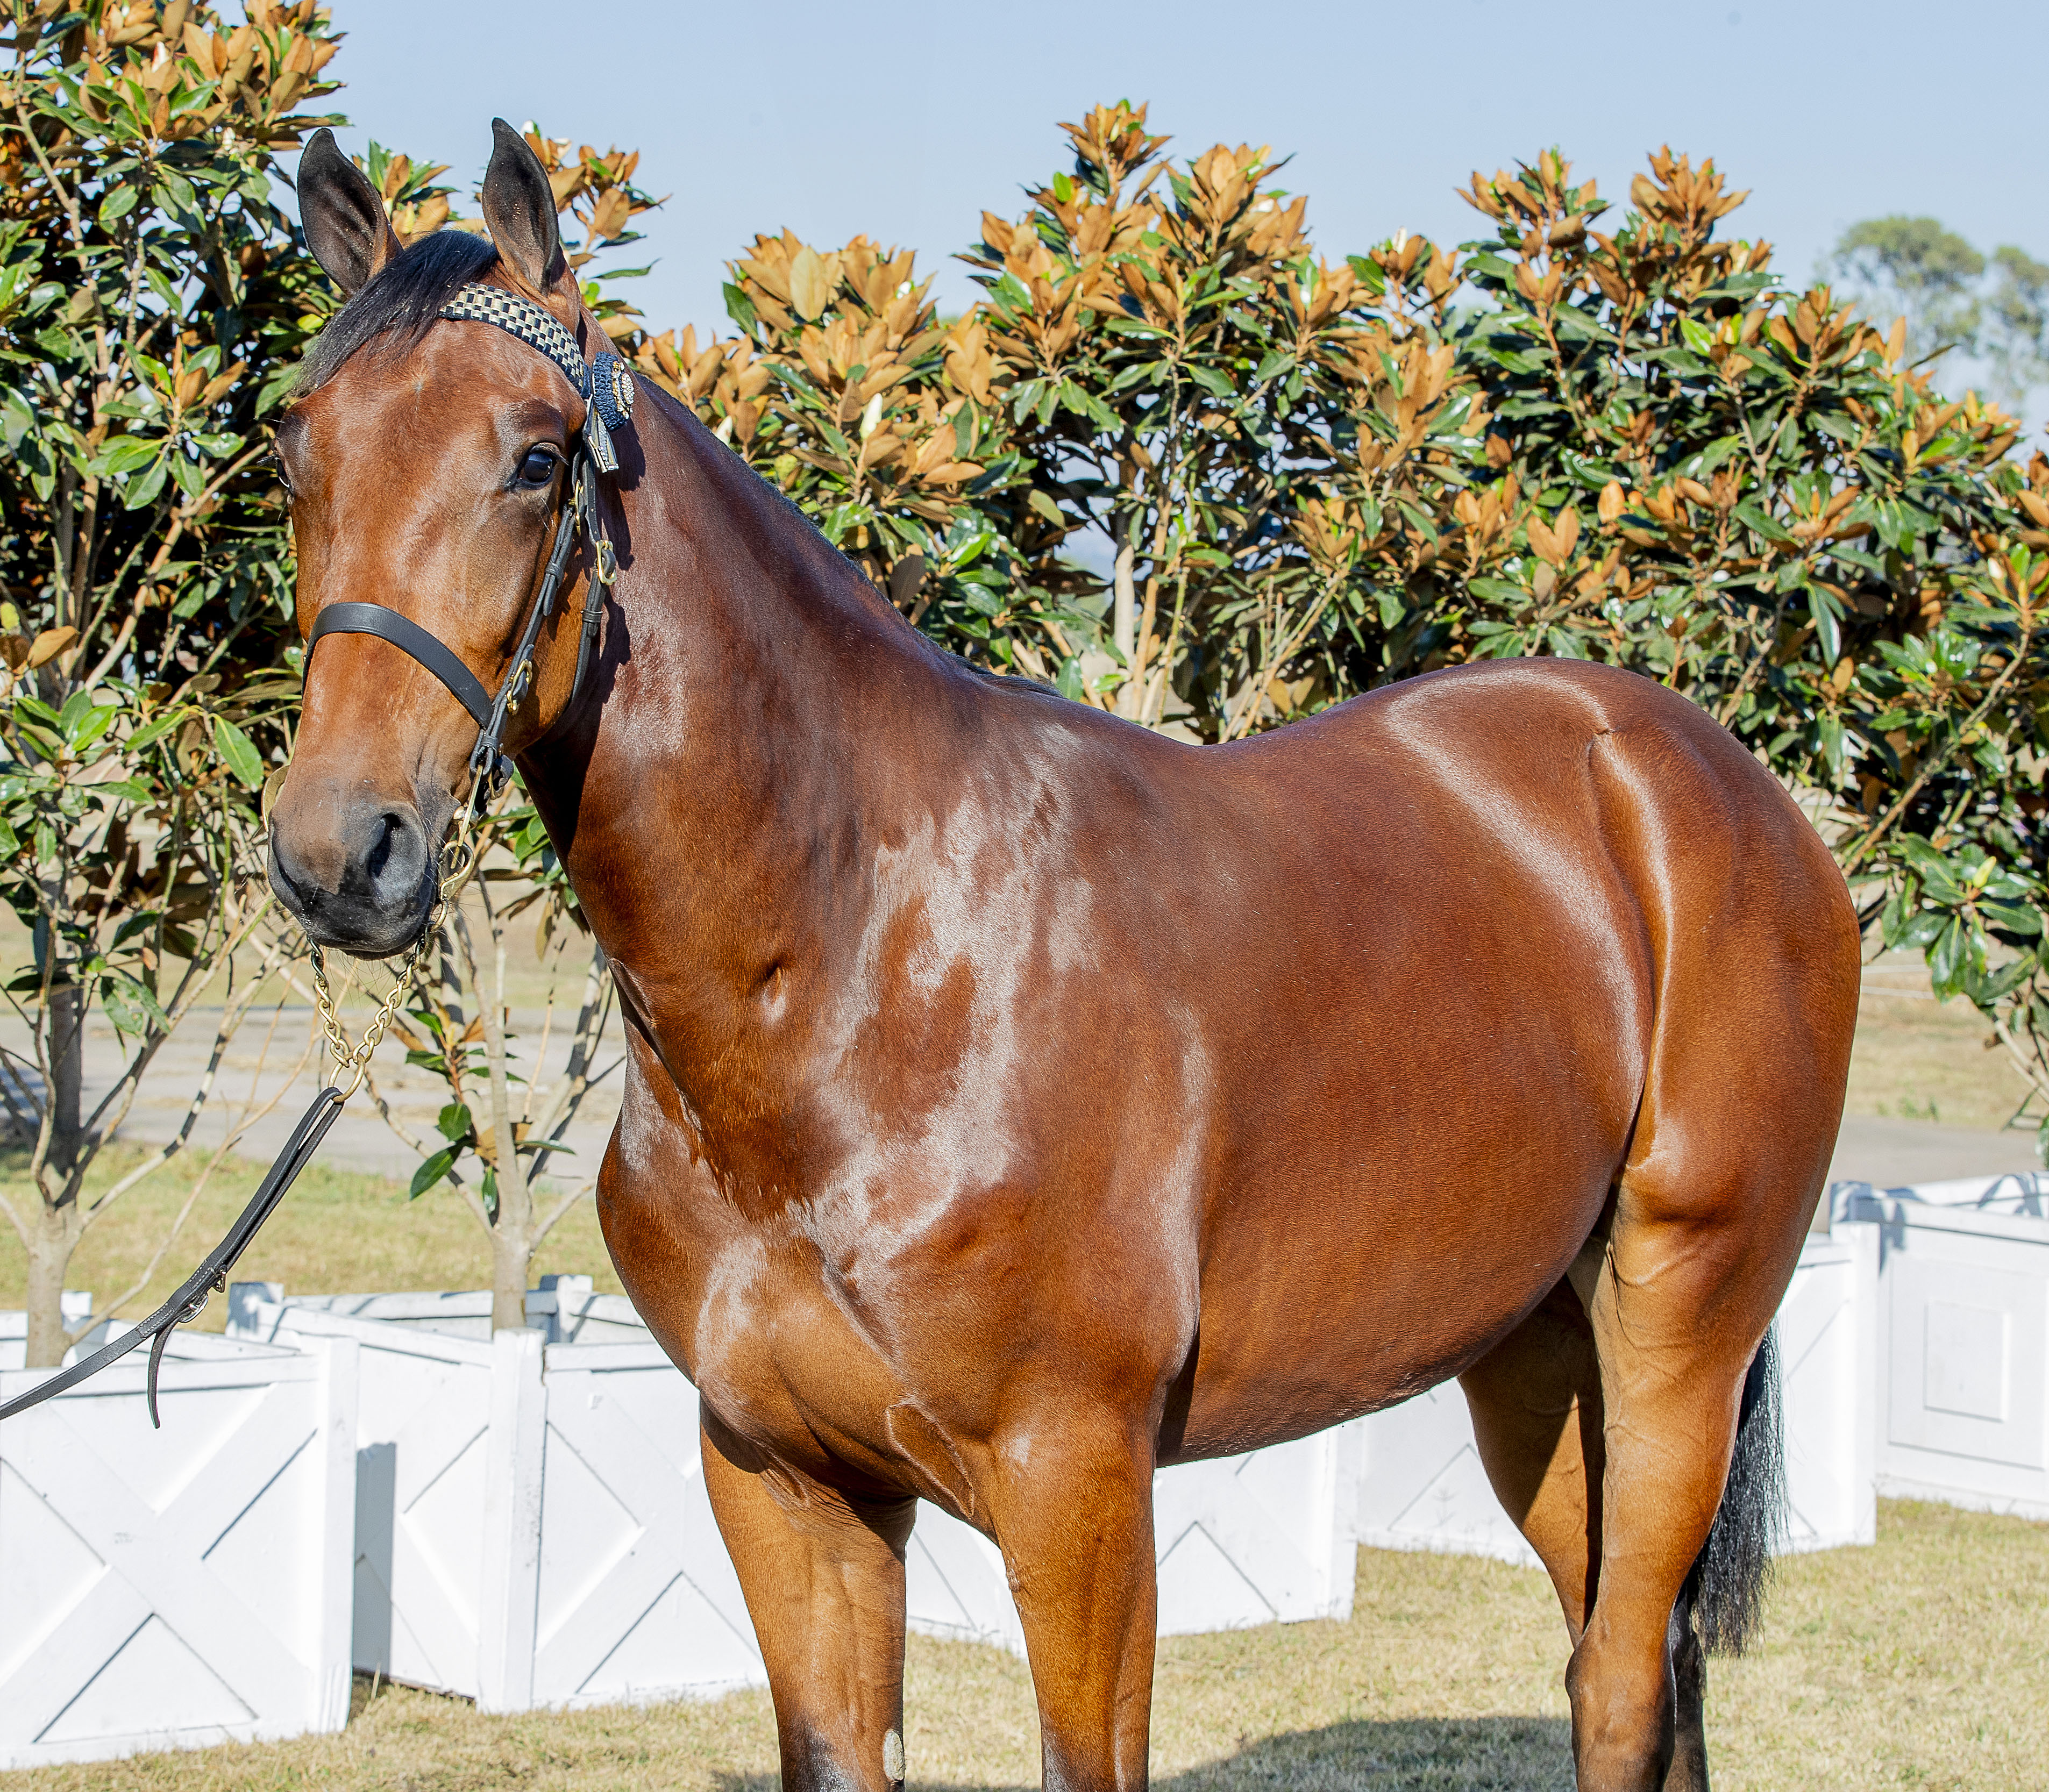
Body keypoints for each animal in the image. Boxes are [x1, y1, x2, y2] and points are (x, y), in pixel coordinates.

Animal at [266, 121, 1860, 1792]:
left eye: (534, 458)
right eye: (295, 454)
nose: (339, 853)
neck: (859, 966)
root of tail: (1693, 778)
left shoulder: (1075, 1483)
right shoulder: (783, 1480)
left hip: (1680, 1321)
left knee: (1618, 1678)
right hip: (1536, 1355)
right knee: (1637, 1653)